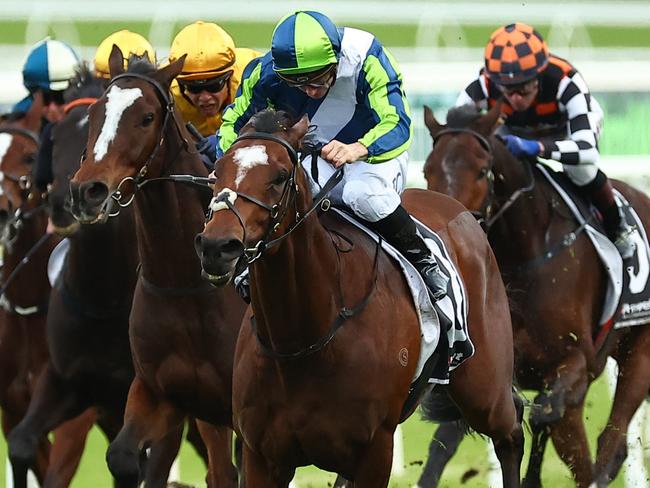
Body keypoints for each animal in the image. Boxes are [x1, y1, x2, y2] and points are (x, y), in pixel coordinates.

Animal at [195, 108, 524, 486]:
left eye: (279, 176)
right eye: (217, 172)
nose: (217, 246)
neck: (304, 340)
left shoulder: (375, 449)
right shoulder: (260, 454)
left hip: (484, 387)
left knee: (511, 429)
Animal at [420, 102, 650, 484]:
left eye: (482, 171)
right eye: (427, 170)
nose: (445, 226)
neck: (524, 256)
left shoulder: (576, 361)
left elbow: (544, 413)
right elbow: (446, 439)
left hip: (638, 353)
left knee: (609, 443)